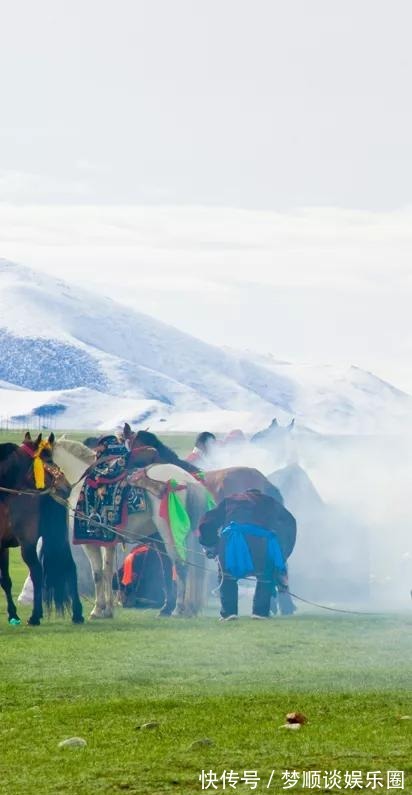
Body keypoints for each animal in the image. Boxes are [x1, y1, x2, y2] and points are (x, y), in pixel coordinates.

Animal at [0, 432, 84, 624]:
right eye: (49, 460)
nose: (66, 487)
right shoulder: (2, 546)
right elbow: (6, 581)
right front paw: (13, 614)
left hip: (28, 543)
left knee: (37, 572)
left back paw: (35, 615)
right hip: (57, 539)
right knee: (70, 567)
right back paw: (77, 613)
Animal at [52, 442, 209, 620]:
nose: (63, 490)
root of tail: (187, 480)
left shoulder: (90, 541)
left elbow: (97, 573)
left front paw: (97, 610)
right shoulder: (108, 541)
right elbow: (107, 572)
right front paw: (108, 610)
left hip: (170, 534)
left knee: (180, 565)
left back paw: (177, 609)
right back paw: (181, 609)